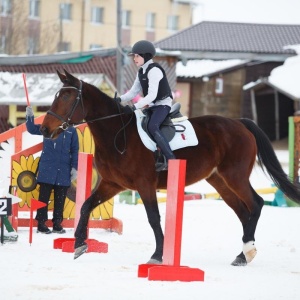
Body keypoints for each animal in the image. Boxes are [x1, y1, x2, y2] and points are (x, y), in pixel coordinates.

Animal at [40, 69, 300, 264]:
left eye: (66, 97)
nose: (44, 129)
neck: (117, 133)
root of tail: (240, 123)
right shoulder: (112, 184)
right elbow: (85, 206)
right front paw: (79, 244)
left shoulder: (145, 185)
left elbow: (154, 218)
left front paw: (157, 255)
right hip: (219, 181)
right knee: (243, 212)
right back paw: (243, 254)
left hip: (235, 176)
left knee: (255, 204)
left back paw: (248, 252)